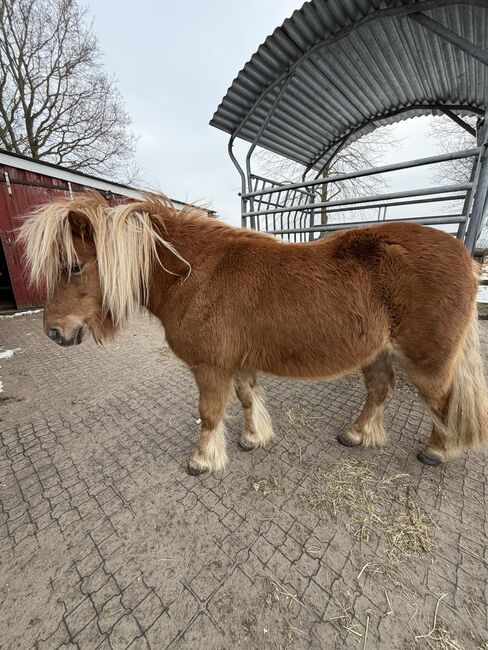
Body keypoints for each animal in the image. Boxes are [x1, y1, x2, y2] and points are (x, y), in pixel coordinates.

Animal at [19, 192, 488, 475]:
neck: (196, 273)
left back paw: (436, 451)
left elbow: (209, 413)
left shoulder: (210, 367)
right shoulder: (236, 362)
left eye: (73, 266)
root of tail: (467, 258)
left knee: (443, 402)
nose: (53, 331)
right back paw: (354, 435)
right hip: (378, 353)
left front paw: (202, 460)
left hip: (427, 360)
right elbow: (246, 399)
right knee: (381, 390)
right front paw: (252, 438)